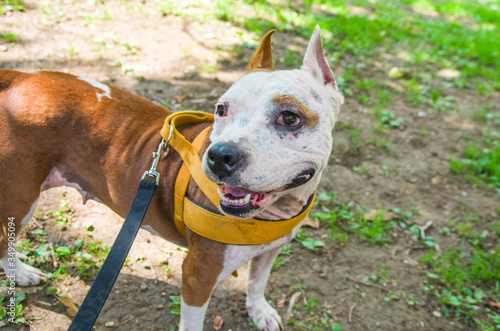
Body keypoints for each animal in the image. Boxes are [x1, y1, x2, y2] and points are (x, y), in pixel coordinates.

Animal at [0, 27, 342, 330]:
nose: (220, 155)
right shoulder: (197, 276)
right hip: (19, 200)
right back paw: (22, 274)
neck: (274, 211)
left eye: (289, 117)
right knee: (5, 241)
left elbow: (257, 282)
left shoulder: (271, 250)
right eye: (221, 109)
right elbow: (192, 323)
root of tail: (21, 77)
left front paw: (259, 312)